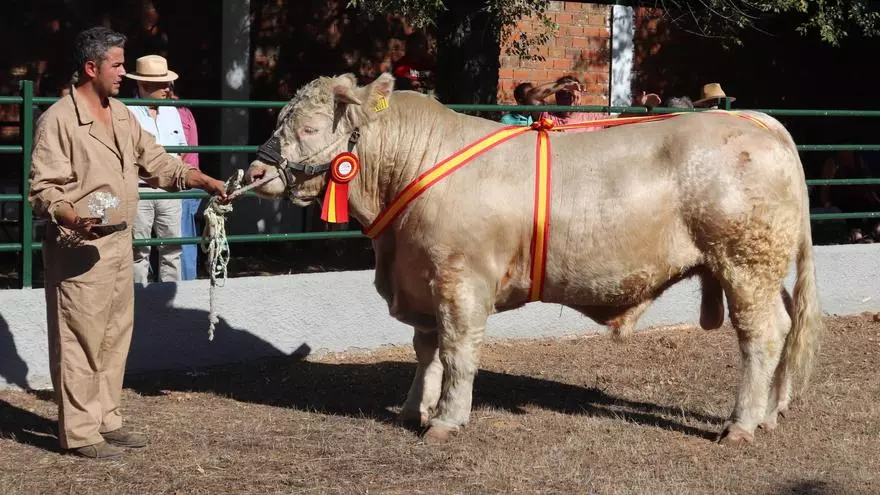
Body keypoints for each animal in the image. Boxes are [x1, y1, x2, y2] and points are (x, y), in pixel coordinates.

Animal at [242, 72, 824, 446]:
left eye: (310, 128)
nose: (254, 173)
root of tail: (758, 123)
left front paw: (447, 420)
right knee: (786, 324)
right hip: (764, 266)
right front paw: (413, 410)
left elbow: (456, 351)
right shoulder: (422, 275)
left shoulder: (460, 279)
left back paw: (742, 425)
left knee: (762, 335)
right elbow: (425, 350)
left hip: (745, 264)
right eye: (282, 119)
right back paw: (771, 413)